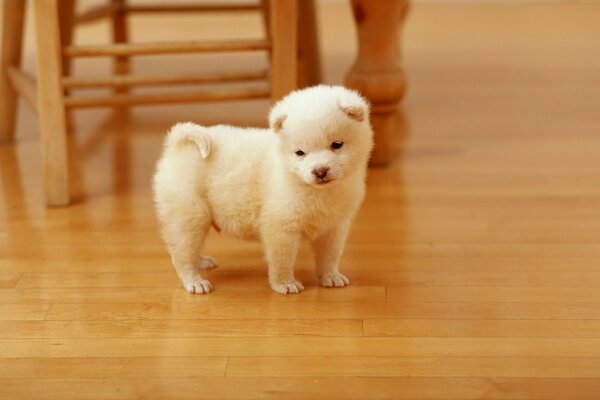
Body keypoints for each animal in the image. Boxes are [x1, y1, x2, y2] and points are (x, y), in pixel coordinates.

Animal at [152, 85, 372, 294]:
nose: (320, 171)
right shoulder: (281, 227)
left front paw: (331, 276)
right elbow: (282, 260)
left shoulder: (334, 227)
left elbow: (330, 256)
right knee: (182, 255)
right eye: (300, 153)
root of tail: (176, 146)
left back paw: (202, 262)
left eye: (337, 144)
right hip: (189, 216)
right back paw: (195, 281)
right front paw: (285, 284)